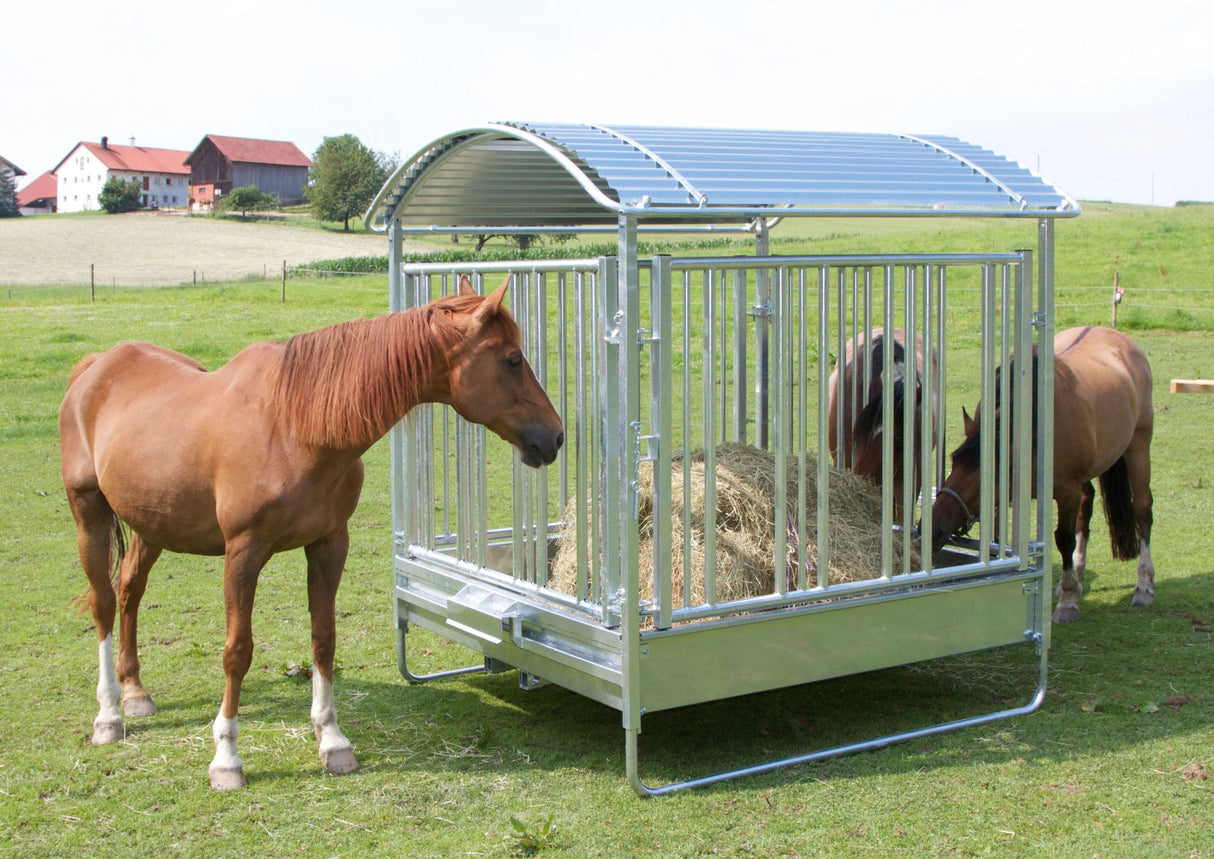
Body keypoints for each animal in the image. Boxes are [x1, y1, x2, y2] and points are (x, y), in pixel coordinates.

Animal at [59, 274, 563, 789]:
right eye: (512, 359)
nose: (556, 436)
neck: (295, 427)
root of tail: (95, 366)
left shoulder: (328, 544)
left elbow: (324, 639)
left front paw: (333, 741)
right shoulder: (243, 552)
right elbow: (237, 651)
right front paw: (227, 758)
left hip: (152, 523)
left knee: (129, 590)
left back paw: (135, 693)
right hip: (89, 512)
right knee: (103, 603)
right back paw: (109, 715)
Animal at [928, 326, 1154, 623]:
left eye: (985, 477)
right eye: (954, 460)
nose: (932, 529)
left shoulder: (1067, 490)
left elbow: (1063, 538)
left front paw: (1068, 603)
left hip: (1139, 445)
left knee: (1143, 510)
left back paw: (1144, 586)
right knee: (1086, 508)